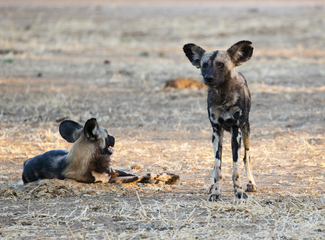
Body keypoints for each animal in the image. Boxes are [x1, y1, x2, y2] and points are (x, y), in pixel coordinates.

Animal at [22, 117, 180, 184]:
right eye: (108, 135)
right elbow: (139, 176)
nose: (115, 138)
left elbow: (146, 173)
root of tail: (25, 163)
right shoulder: (109, 179)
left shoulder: (112, 171)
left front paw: (168, 177)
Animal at [182, 40, 256, 201]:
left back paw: (250, 183)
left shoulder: (236, 132)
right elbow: (217, 168)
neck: (222, 95)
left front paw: (239, 192)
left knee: (246, 158)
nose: (208, 78)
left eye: (221, 65)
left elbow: (236, 169)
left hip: (246, 132)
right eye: (204, 65)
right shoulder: (216, 132)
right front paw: (216, 192)